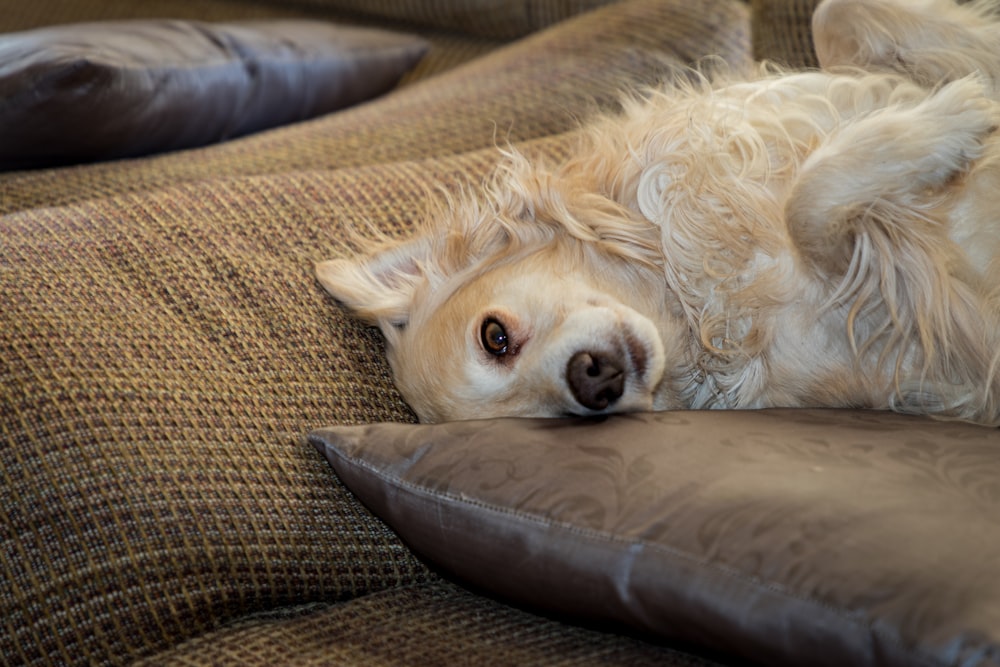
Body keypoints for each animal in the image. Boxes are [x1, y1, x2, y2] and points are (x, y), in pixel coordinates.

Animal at [316, 0, 1000, 426]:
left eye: (494, 337)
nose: (593, 382)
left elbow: (836, 13)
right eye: (551, 419)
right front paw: (951, 123)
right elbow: (811, 203)